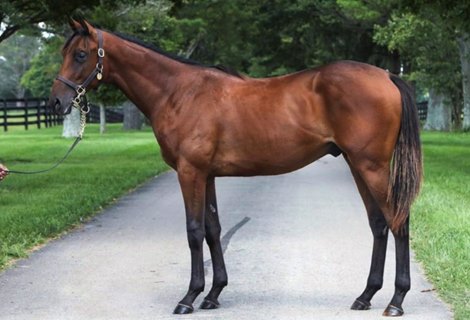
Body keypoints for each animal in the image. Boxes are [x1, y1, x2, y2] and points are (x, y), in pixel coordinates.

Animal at [48, 18, 422, 316]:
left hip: (371, 166)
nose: (56, 102)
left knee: (398, 220)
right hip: (358, 166)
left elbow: (194, 231)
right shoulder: (207, 175)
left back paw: (396, 301)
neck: (178, 92)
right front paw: (213, 294)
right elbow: (213, 229)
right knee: (378, 224)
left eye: (80, 54)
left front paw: (189, 297)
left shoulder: (190, 172)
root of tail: (387, 76)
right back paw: (366, 296)